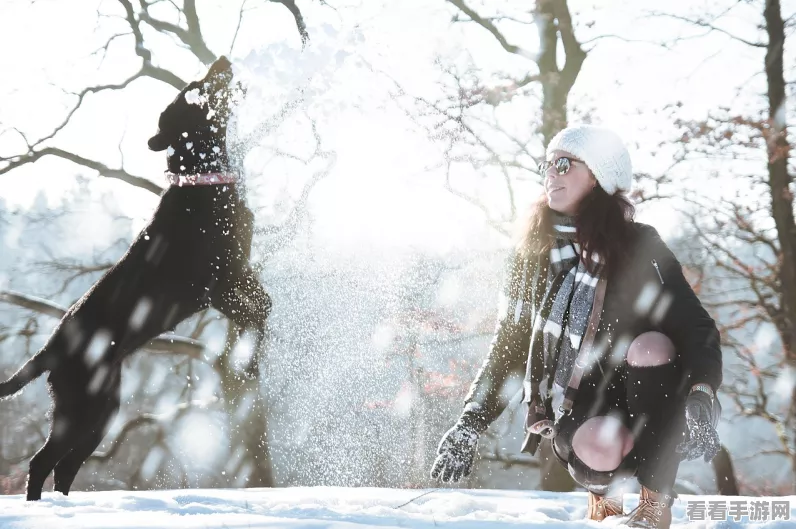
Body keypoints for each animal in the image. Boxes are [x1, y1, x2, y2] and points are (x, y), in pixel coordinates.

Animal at [0, 56, 270, 500]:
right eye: (193, 90)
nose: (222, 60)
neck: (203, 180)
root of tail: (49, 349)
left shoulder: (240, 272)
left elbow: (264, 304)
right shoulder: (218, 284)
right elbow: (257, 313)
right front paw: (249, 360)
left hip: (103, 410)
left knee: (65, 466)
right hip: (83, 407)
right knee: (42, 463)